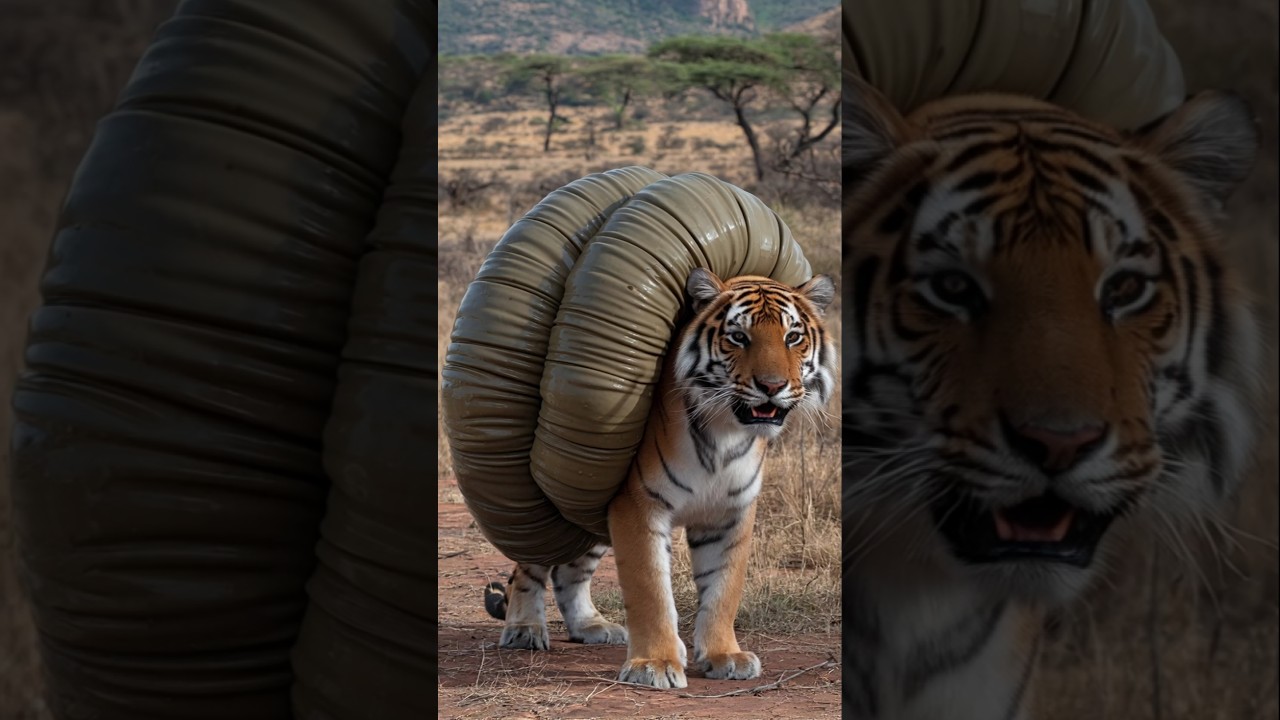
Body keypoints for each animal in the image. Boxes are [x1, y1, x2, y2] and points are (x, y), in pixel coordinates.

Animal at [483, 266, 837, 689]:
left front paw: (724, 656)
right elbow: (650, 589)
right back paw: (524, 628)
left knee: (571, 571)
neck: (725, 436)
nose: (772, 387)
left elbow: (724, 589)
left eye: (792, 337)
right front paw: (654, 664)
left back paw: (591, 626)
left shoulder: (730, 514)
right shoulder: (639, 505)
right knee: (530, 564)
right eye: (738, 337)